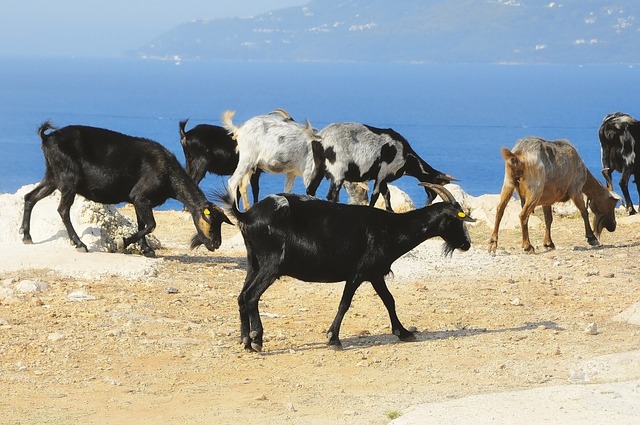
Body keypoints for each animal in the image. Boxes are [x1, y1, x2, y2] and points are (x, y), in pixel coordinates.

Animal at [21, 121, 231, 256]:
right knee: (63, 209)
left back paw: (26, 236)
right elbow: (151, 225)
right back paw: (80, 244)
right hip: (68, 178)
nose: (216, 244)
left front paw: (146, 250)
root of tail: (47, 138)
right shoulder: (141, 195)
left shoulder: (140, 201)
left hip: (52, 176)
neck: (168, 173)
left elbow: (142, 224)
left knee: (30, 197)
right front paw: (122, 242)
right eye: (211, 219)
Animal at [222, 182, 472, 352]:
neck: (392, 229)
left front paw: (403, 332)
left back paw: (246, 340)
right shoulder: (358, 272)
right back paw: (256, 339)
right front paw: (333, 339)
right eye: (455, 220)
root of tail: (247, 215)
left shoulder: (374, 273)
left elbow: (389, 300)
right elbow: (345, 304)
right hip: (271, 264)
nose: (466, 244)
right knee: (252, 296)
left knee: (242, 296)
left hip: (253, 262)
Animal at [488, 137, 616, 253]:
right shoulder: (576, 189)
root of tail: (517, 155)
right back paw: (528, 246)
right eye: (611, 203)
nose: (613, 226)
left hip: (508, 182)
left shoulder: (547, 199)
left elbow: (548, 219)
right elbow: (584, 211)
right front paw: (592, 238)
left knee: (500, 209)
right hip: (535, 189)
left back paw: (492, 244)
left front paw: (548, 244)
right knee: (523, 215)